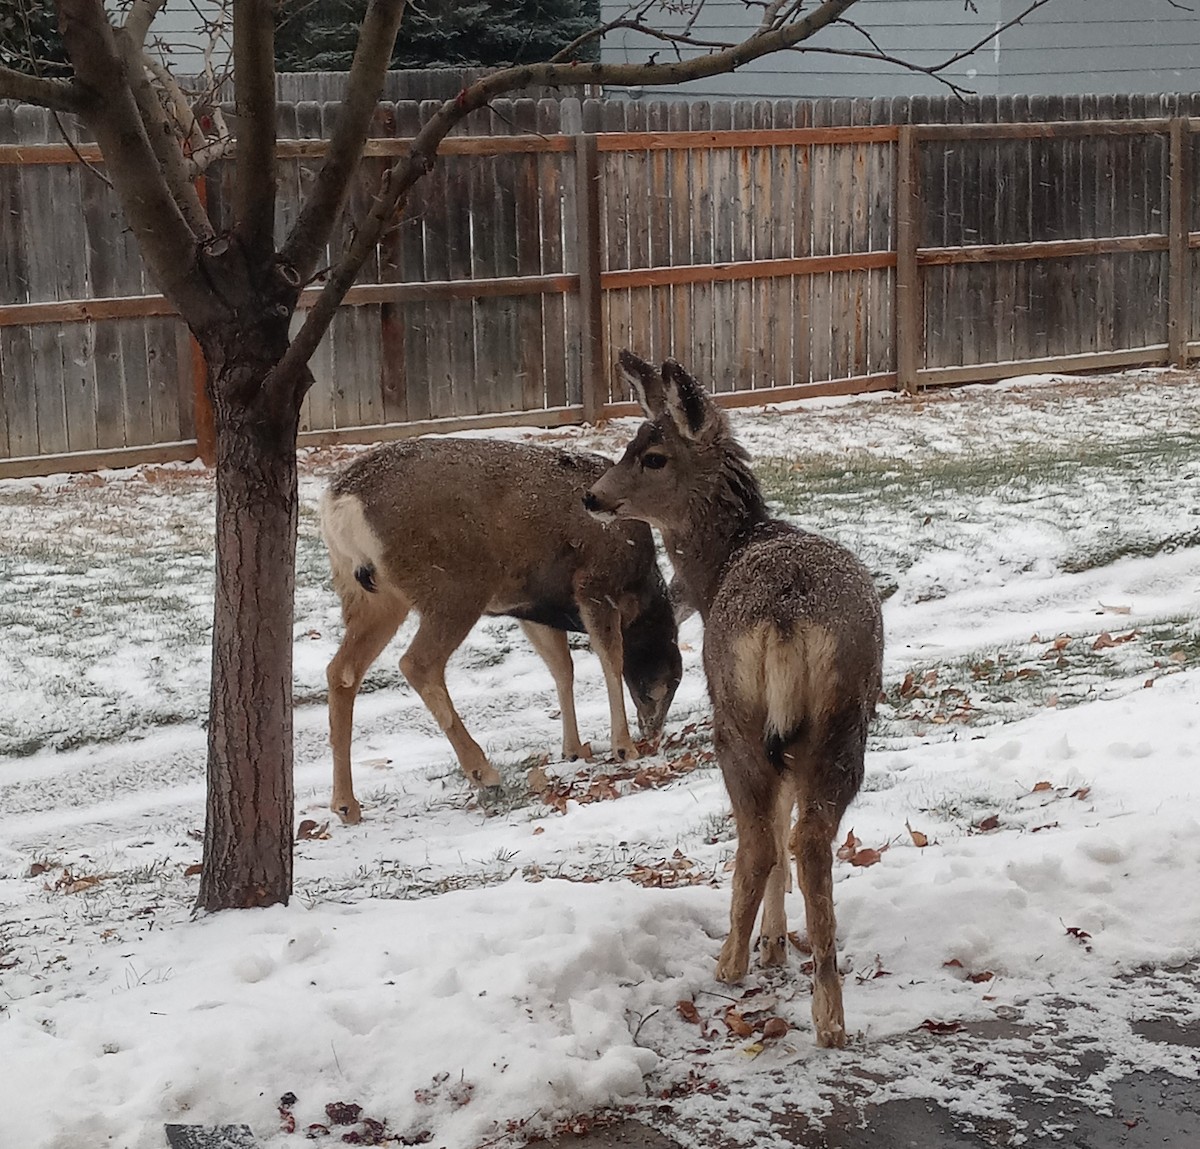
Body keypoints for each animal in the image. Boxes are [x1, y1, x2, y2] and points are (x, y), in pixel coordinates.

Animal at [320, 436, 683, 824]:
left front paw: (573, 749)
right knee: (417, 663)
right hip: (455, 585)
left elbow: (562, 668)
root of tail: (340, 503)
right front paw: (623, 747)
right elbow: (610, 660)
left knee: (342, 671)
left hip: (370, 595)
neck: (640, 585)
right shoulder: (595, 585)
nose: (653, 733)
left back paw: (346, 804)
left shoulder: (530, 608)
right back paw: (484, 772)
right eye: (667, 683)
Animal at [584, 352, 884, 1048]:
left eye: (653, 455)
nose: (593, 497)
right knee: (808, 837)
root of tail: (785, 613)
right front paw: (776, 944)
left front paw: (759, 949)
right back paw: (829, 1014)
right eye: (631, 441)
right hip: (842, 718)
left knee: (761, 840)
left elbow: (764, 831)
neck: (718, 564)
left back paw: (729, 962)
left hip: (736, 716)